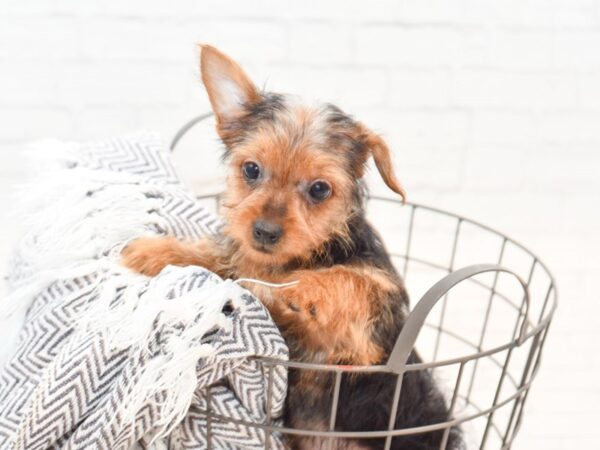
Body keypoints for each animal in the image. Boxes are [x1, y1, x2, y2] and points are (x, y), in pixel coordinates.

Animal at [120, 45, 460, 450]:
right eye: (251, 169)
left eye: (319, 189)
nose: (265, 232)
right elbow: (218, 260)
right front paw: (155, 252)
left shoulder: (362, 341)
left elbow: (353, 282)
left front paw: (301, 288)